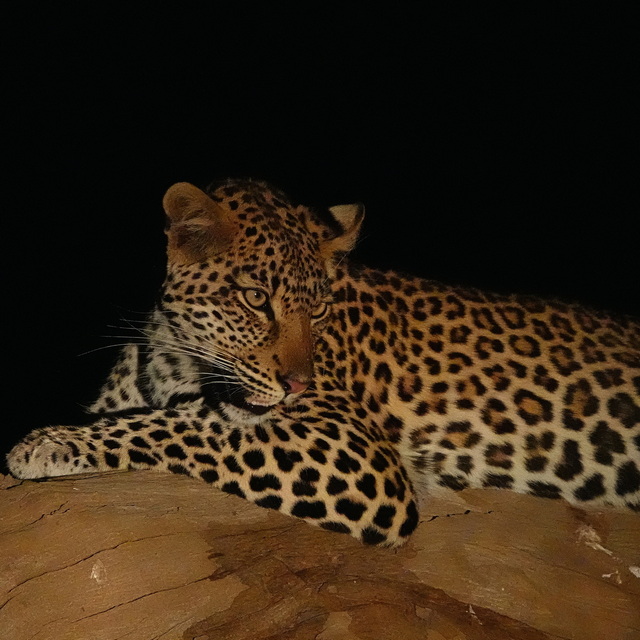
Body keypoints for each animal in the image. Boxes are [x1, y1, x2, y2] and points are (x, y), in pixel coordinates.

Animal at [7, 178, 640, 547]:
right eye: (255, 298)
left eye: (320, 308)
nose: (295, 386)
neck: (174, 358)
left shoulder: (356, 450)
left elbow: (184, 428)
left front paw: (50, 442)